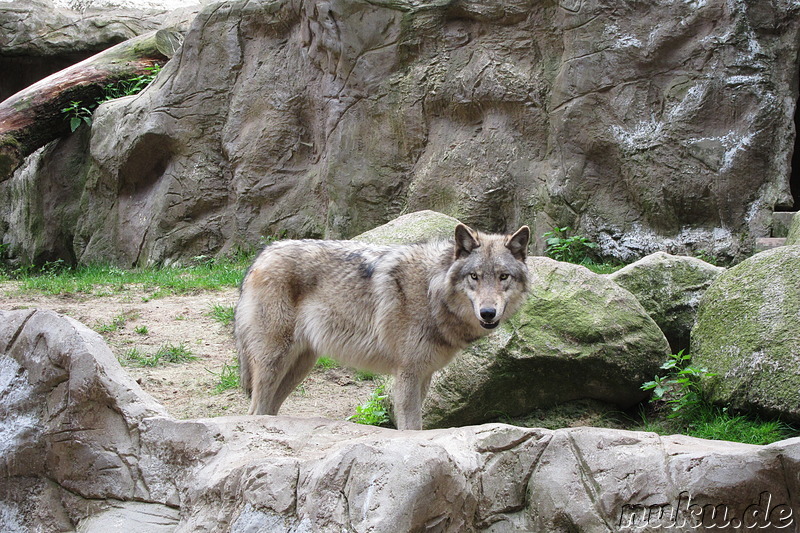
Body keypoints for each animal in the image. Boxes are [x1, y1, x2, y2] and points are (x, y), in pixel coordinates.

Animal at [234, 222, 528, 430]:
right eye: (474, 277)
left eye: (503, 277)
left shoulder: (423, 374)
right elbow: (411, 428)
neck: (431, 291)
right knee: (254, 411)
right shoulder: (407, 374)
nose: (488, 313)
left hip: (300, 366)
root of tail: (263, 254)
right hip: (275, 361)